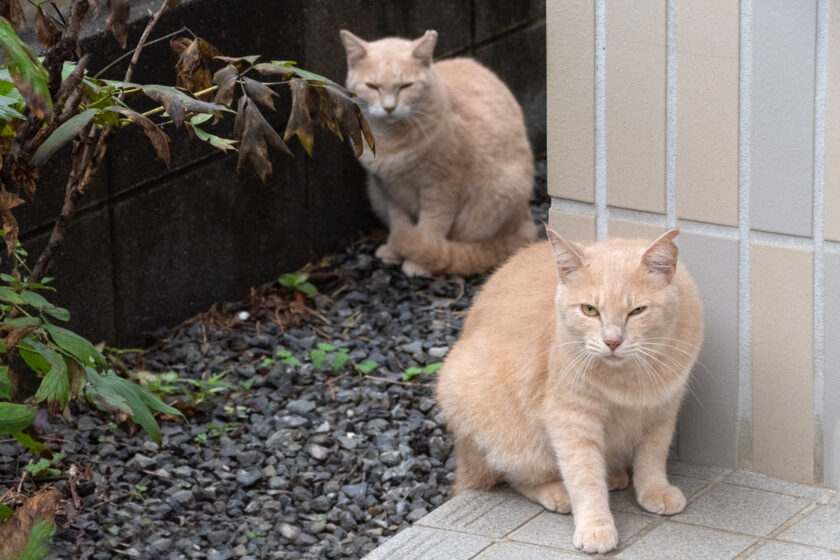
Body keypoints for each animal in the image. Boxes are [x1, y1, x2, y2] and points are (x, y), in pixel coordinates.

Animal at [338, 28, 536, 278]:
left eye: (405, 86)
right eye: (373, 86)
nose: (389, 108)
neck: (391, 141)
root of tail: (527, 220)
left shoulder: (441, 188)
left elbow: (432, 226)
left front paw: (418, 260)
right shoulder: (389, 189)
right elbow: (399, 221)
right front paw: (395, 248)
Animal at [436, 230, 704, 552]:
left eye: (637, 311)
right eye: (590, 310)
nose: (612, 341)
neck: (628, 379)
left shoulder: (662, 410)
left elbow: (652, 456)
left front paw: (654, 490)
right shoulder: (571, 418)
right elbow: (584, 475)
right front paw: (595, 527)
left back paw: (614, 474)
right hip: (503, 430)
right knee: (515, 475)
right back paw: (559, 492)